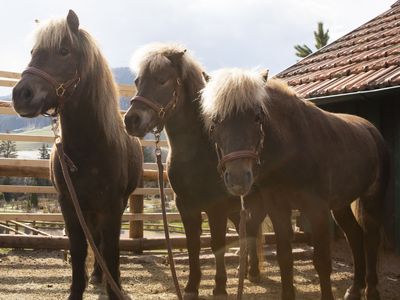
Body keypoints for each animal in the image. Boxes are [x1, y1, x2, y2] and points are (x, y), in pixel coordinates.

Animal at [11, 10, 143, 298]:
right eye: (33, 51)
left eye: (63, 51)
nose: (20, 95)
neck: (89, 148)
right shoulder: (69, 204)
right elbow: (79, 249)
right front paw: (77, 289)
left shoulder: (113, 205)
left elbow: (111, 249)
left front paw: (114, 287)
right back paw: (96, 276)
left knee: (103, 242)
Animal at [202, 68, 390, 300]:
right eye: (215, 121)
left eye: (257, 117)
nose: (238, 178)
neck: (293, 149)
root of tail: (371, 130)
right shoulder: (278, 210)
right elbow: (285, 258)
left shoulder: (317, 210)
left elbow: (322, 262)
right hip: (340, 205)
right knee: (355, 235)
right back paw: (355, 289)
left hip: (372, 199)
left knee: (371, 238)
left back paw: (371, 290)